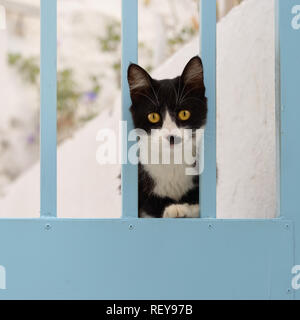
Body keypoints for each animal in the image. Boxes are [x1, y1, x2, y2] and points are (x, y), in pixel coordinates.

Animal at [126, 56, 206, 219]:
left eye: (184, 113)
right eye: (153, 116)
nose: (171, 137)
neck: (172, 160)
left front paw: (184, 208)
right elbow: (149, 204)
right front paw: (173, 208)